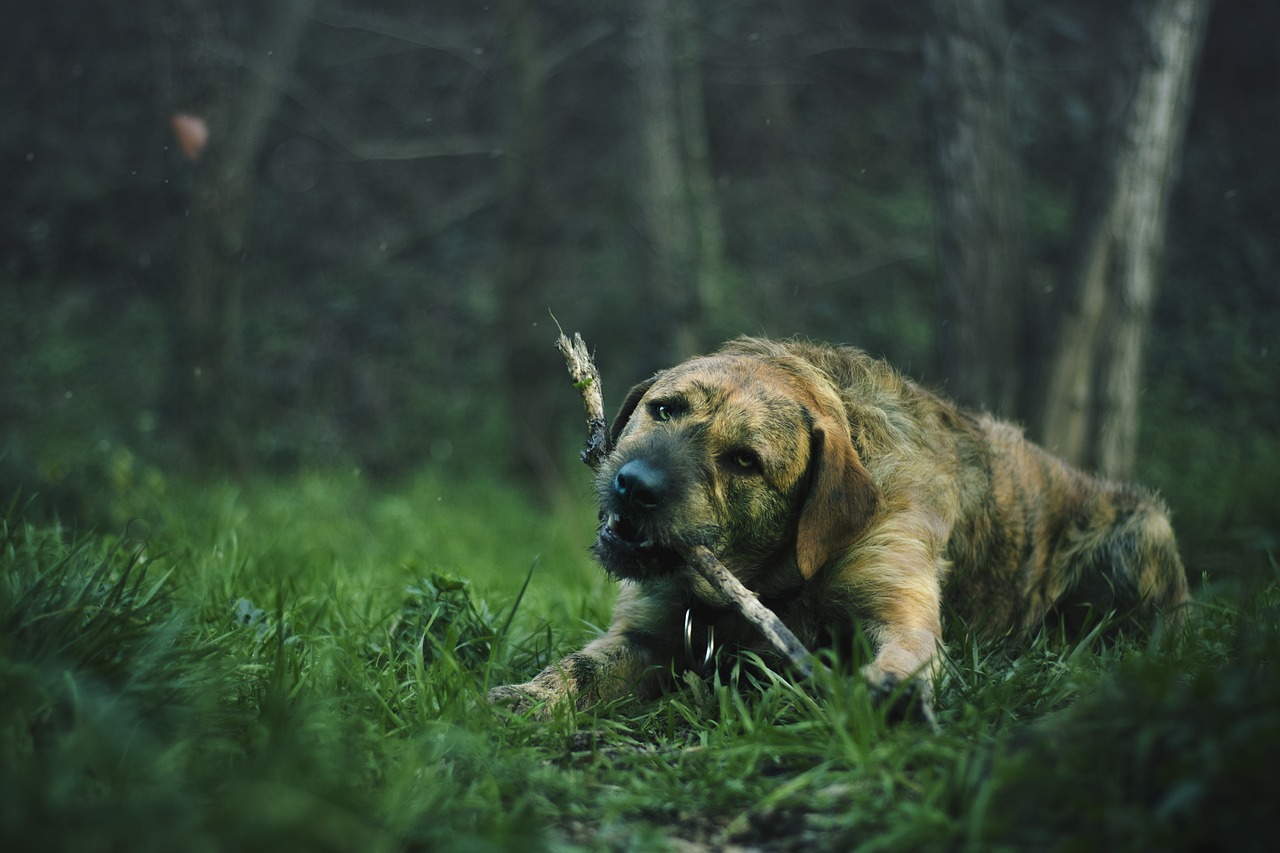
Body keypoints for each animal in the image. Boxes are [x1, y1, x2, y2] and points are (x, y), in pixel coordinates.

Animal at [488, 335, 1187, 712]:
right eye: (664, 408)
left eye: (745, 461)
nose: (634, 487)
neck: (780, 582)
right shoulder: (647, 634)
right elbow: (579, 668)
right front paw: (526, 700)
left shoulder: (895, 593)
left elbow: (908, 648)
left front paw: (891, 691)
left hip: (1141, 537)